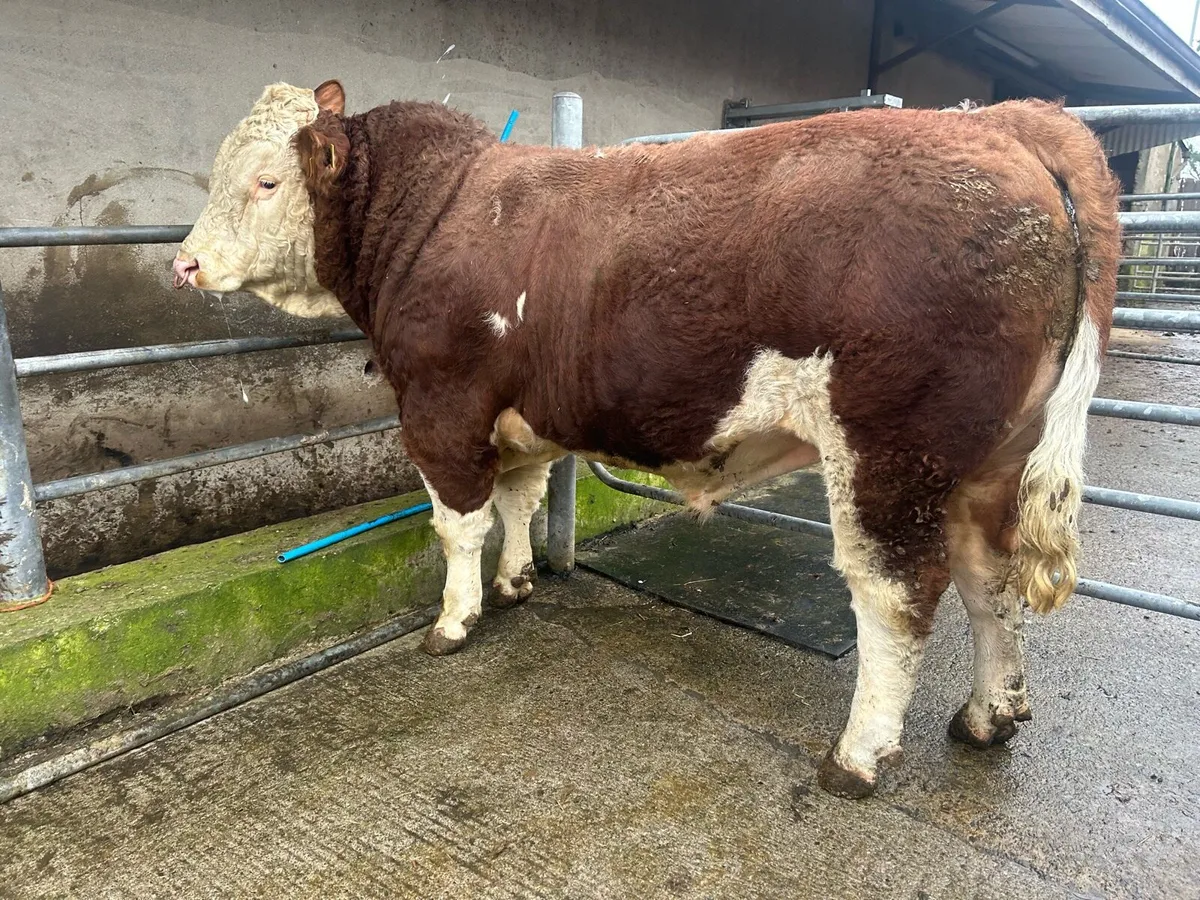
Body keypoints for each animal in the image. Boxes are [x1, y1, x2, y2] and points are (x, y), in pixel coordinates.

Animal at [173, 80, 1119, 799]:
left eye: (267, 182)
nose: (183, 264)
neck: (434, 214)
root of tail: (1003, 122)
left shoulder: (441, 407)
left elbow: (458, 525)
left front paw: (455, 619)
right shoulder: (520, 416)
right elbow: (518, 500)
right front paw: (517, 582)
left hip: (889, 453)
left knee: (897, 595)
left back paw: (857, 756)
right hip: (991, 459)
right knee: (988, 581)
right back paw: (989, 716)